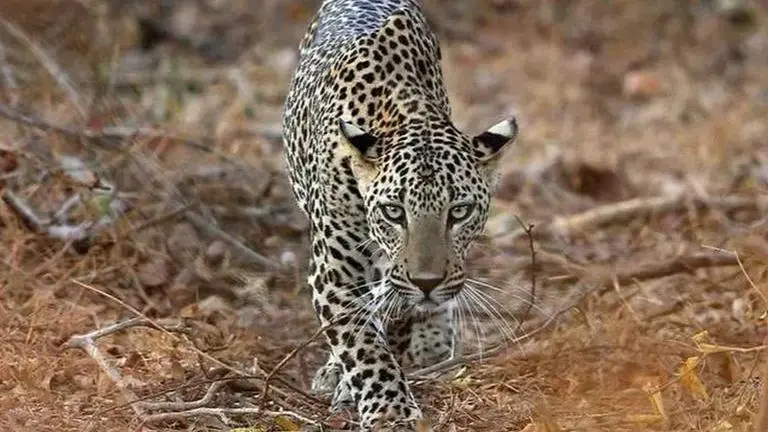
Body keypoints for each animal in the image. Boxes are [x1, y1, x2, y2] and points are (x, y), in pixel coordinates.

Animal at [281, 0, 518, 430]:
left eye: (459, 212)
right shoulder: (334, 272)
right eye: (394, 212)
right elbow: (363, 344)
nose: (427, 282)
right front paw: (389, 409)